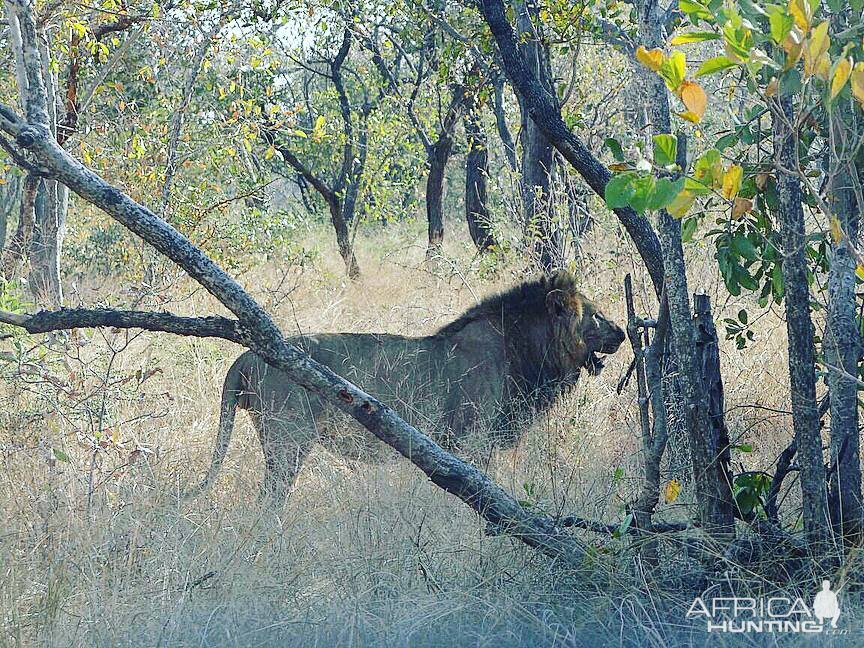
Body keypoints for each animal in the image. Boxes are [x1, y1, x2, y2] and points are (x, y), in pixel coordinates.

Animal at [192, 270, 624, 504]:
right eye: (597, 316)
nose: (621, 333)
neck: (526, 350)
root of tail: (247, 357)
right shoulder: (473, 443)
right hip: (288, 440)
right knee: (270, 499)